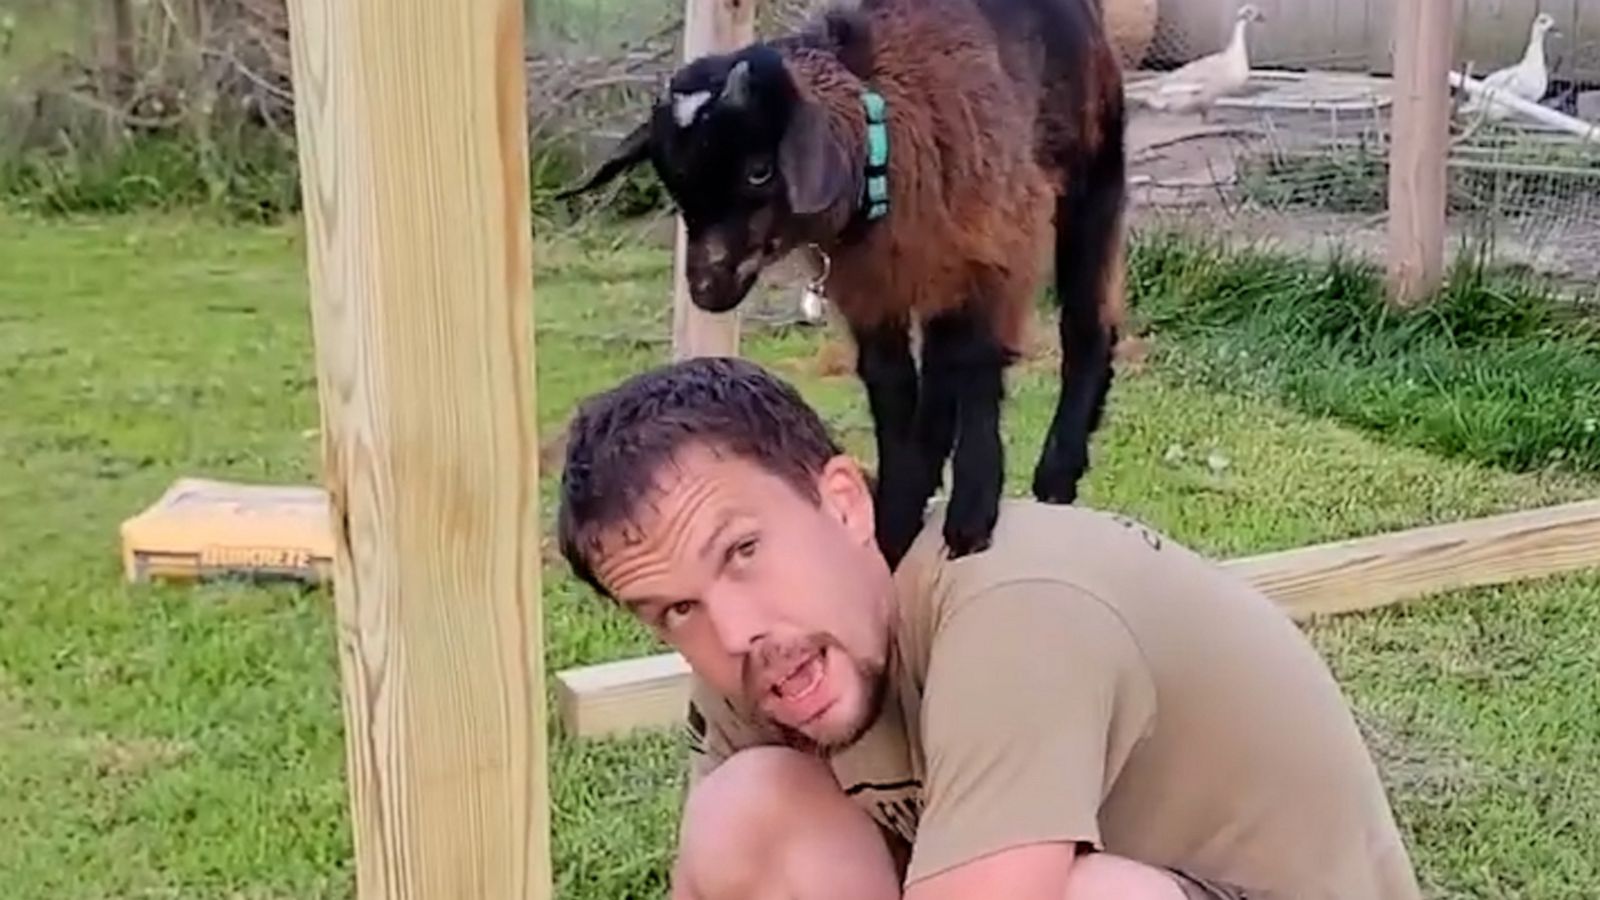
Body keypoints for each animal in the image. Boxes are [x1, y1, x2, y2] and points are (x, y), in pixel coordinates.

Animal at [556, 0, 1132, 563]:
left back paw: (1058, 469)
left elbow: (978, 370)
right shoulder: (874, 294)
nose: (705, 288)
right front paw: (895, 520)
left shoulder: (996, 249)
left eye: (760, 170)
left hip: (1089, 181)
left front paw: (970, 516)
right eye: (675, 184)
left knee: (1085, 323)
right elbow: (892, 390)